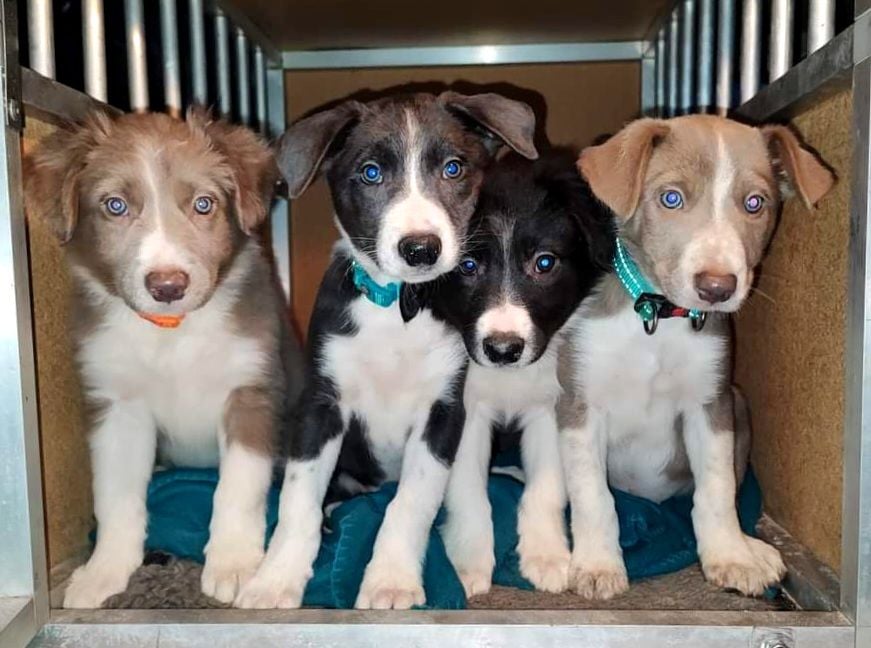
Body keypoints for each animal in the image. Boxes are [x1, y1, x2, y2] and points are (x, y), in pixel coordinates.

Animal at [25, 110, 303, 608]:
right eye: (115, 206)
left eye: (204, 204)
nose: (168, 286)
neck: (171, 334)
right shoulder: (117, 406)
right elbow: (114, 496)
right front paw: (104, 572)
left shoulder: (249, 392)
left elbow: (238, 487)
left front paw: (234, 565)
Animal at [235, 92, 538, 609]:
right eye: (371, 173)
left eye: (454, 168)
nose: (421, 249)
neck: (399, 306)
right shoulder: (322, 404)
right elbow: (298, 500)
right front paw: (275, 580)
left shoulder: (443, 412)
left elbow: (409, 504)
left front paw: (391, 579)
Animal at [432, 153, 614, 597]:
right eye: (468, 265)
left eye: (544, 263)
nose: (503, 349)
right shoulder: (468, 410)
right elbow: (468, 489)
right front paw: (468, 564)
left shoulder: (550, 407)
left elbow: (546, 487)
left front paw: (546, 556)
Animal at [557, 115, 834, 599]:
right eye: (671, 198)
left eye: (755, 203)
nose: (717, 287)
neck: (657, 320)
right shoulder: (580, 406)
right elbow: (594, 495)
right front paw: (596, 564)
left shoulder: (711, 404)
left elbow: (717, 490)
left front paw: (729, 555)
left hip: (739, 402)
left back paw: (751, 548)